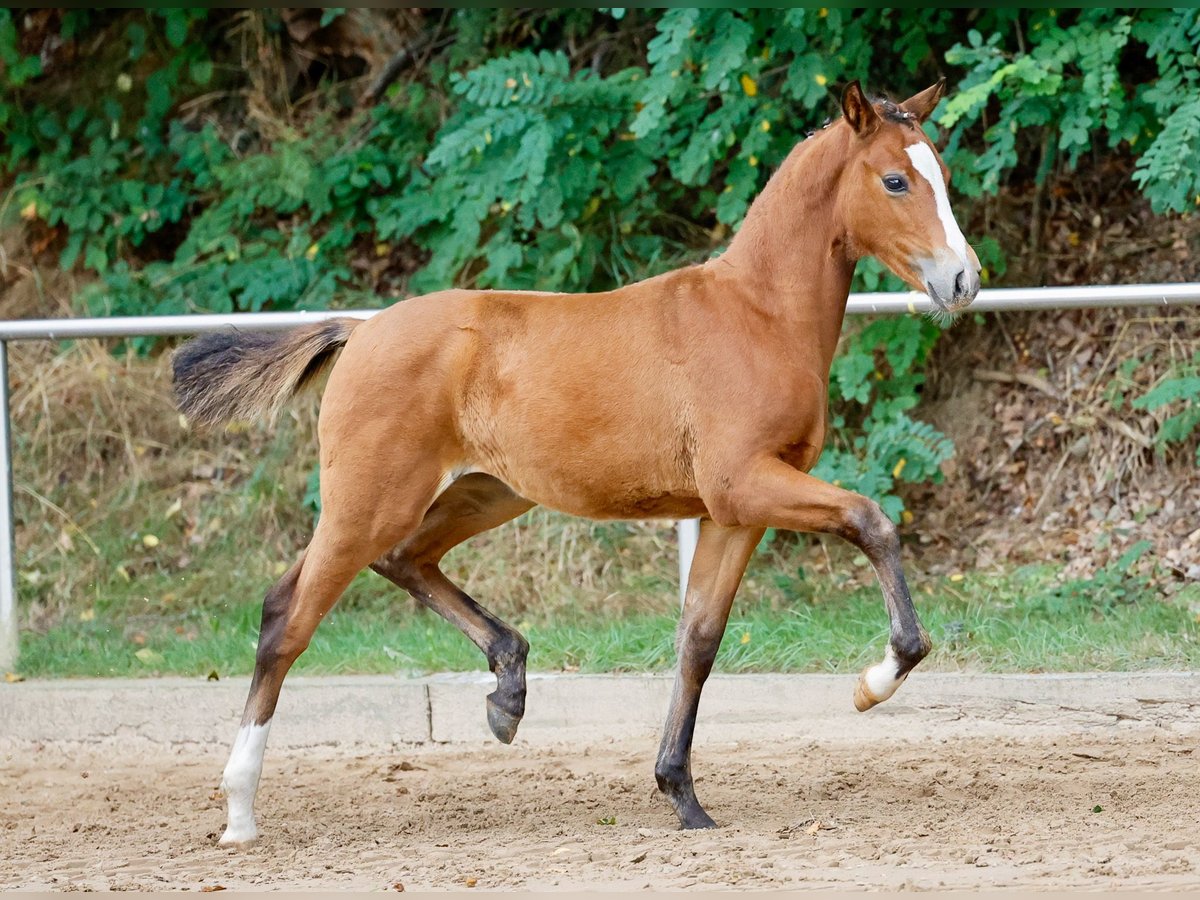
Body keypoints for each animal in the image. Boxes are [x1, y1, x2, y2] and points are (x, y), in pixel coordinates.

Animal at [174, 79, 979, 844]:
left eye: (942, 174)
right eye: (895, 181)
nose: (963, 281)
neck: (756, 316)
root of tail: (361, 331)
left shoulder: (735, 512)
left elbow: (698, 642)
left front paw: (683, 799)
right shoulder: (747, 484)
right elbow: (871, 521)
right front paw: (874, 682)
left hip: (483, 494)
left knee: (403, 559)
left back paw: (508, 691)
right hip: (371, 499)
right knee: (289, 615)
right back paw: (240, 811)